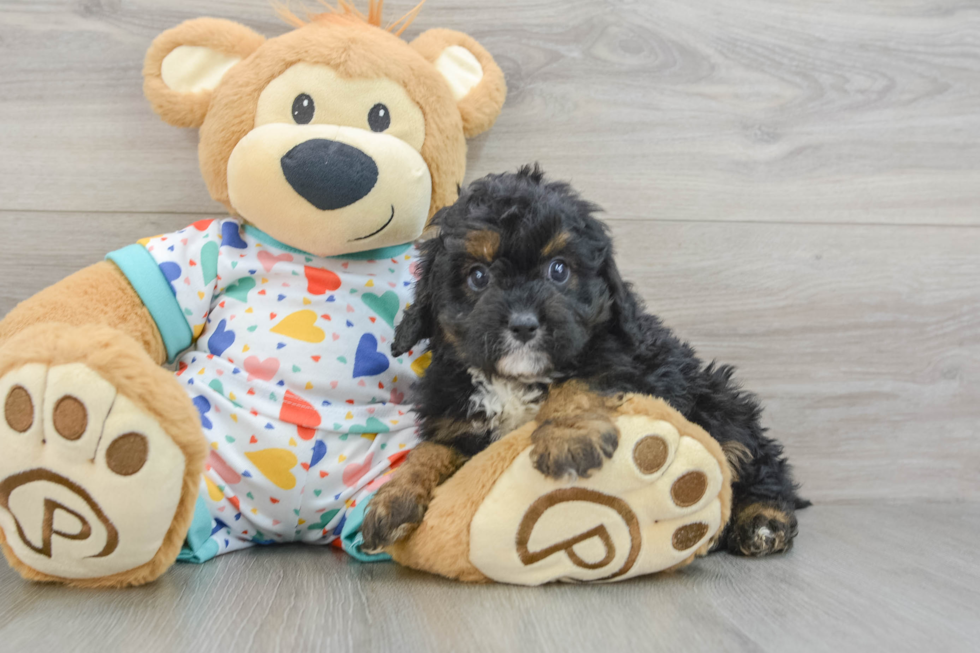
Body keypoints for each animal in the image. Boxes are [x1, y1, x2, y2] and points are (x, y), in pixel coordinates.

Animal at [364, 166, 808, 552]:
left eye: (558, 270)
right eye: (477, 276)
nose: (524, 325)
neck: (514, 382)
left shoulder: (628, 362)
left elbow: (579, 382)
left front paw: (568, 439)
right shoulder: (455, 420)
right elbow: (429, 451)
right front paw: (393, 498)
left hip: (719, 403)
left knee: (758, 465)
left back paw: (763, 521)